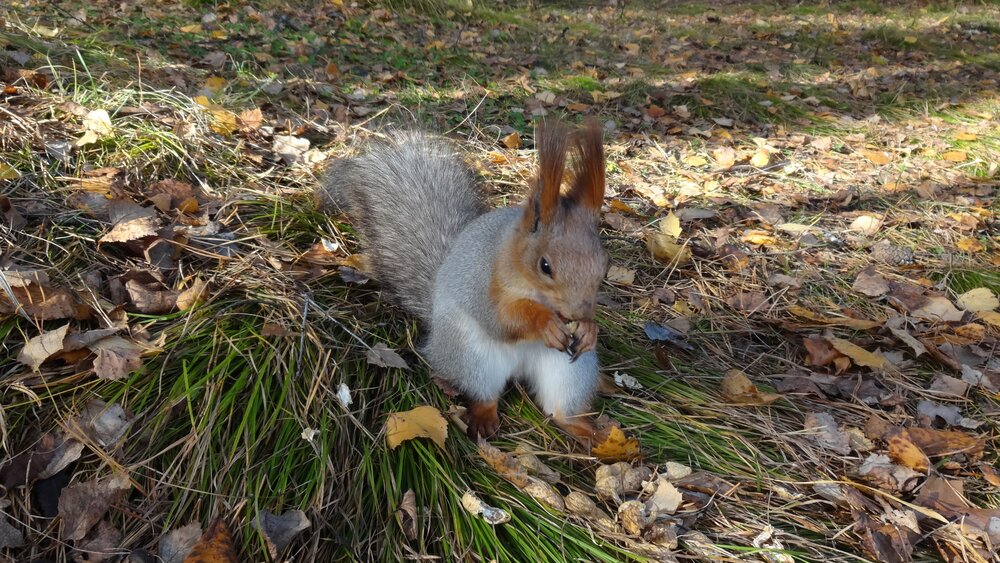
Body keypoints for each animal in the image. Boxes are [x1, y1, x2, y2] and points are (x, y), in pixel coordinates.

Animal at [317, 120, 608, 444]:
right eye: (545, 266)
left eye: (604, 266)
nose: (576, 314)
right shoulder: (482, 284)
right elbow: (501, 319)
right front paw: (544, 322)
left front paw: (589, 328)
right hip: (470, 357)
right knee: (483, 394)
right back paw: (483, 420)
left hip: (570, 372)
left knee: (559, 411)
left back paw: (588, 432)